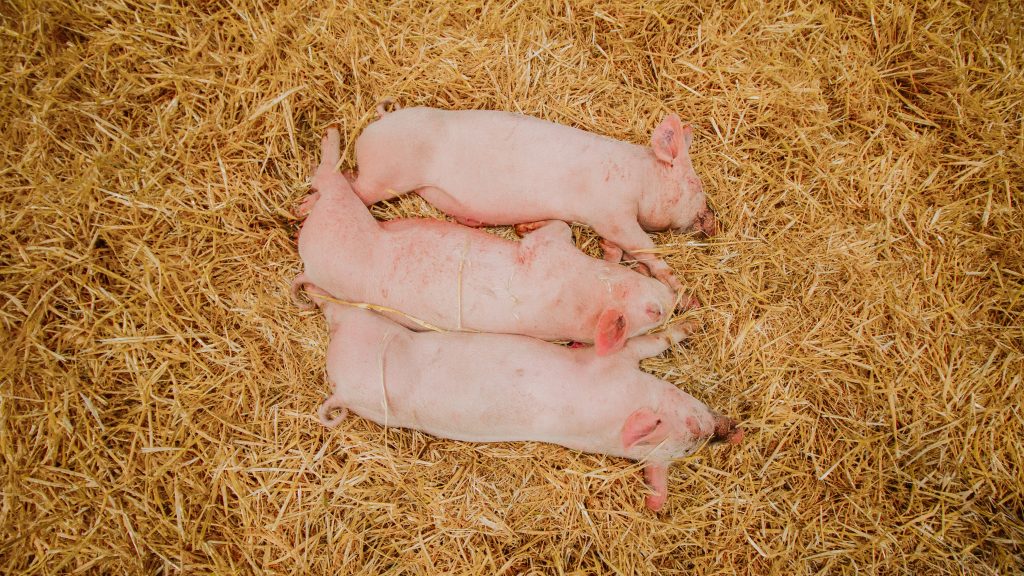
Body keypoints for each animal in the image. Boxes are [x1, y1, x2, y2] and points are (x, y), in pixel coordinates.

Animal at [293, 126, 679, 355]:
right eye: (654, 311)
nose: (676, 299)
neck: (582, 294)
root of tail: (307, 263)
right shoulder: (549, 251)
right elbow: (557, 227)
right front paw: (524, 226)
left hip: (343, 218)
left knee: (331, 182)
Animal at [304, 284, 743, 512]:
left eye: (687, 450)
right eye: (690, 426)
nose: (726, 428)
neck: (609, 414)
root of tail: (337, 387)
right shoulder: (610, 362)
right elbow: (652, 342)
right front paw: (692, 325)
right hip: (367, 327)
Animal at [349, 105, 716, 291]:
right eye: (694, 183)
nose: (712, 221)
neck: (638, 178)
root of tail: (381, 119)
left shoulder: (610, 224)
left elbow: (616, 253)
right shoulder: (611, 214)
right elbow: (644, 246)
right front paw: (683, 293)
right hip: (385, 175)